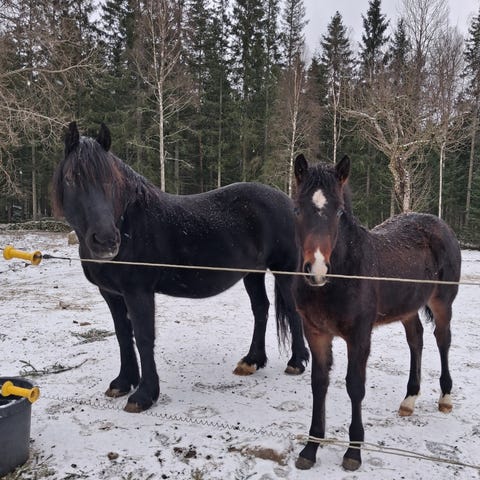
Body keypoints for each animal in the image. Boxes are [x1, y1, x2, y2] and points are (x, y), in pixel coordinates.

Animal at [51, 122, 309, 413]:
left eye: (112, 180)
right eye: (71, 179)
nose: (106, 240)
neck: (130, 224)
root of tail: (287, 203)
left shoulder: (138, 292)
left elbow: (143, 337)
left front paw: (144, 395)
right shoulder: (112, 294)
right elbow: (122, 335)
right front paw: (122, 383)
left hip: (284, 271)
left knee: (292, 310)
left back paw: (296, 363)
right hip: (252, 274)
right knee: (261, 309)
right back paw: (252, 360)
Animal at [292, 154, 461, 471]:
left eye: (339, 211)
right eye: (297, 208)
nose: (316, 269)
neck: (342, 277)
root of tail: (440, 224)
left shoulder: (359, 336)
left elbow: (355, 386)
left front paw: (353, 451)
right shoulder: (315, 332)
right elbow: (319, 384)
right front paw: (310, 448)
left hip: (443, 303)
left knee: (442, 340)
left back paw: (445, 397)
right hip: (408, 309)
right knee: (416, 340)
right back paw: (409, 400)